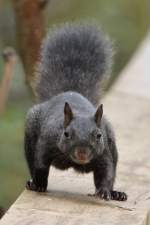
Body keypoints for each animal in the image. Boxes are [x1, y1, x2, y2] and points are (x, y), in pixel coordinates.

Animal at [24, 22, 127, 201]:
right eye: (66, 134)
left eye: (98, 135)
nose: (82, 154)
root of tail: (70, 91)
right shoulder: (46, 141)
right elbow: (40, 165)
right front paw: (39, 185)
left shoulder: (104, 151)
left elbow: (107, 172)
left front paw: (104, 191)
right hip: (31, 132)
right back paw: (32, 183)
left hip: (112, 144)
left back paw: (117, 193)